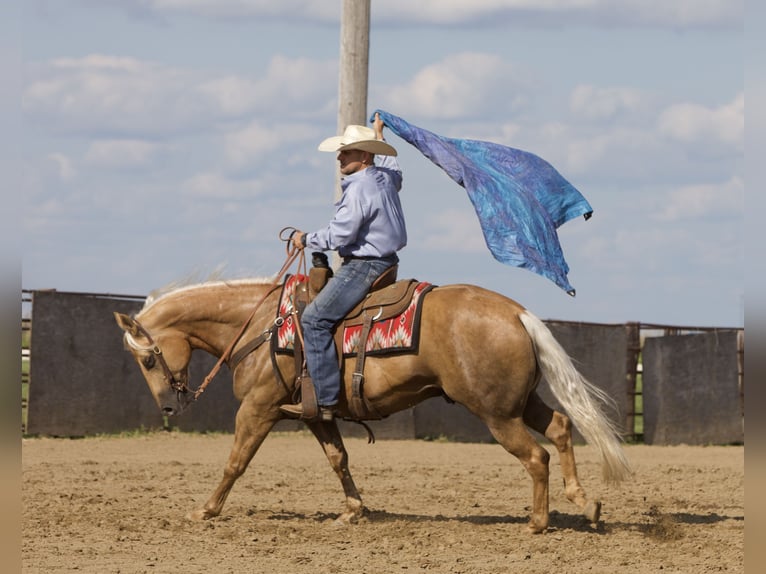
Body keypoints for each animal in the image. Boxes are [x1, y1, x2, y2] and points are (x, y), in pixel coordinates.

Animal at [112, 276, 632, 532]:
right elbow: (339, 458)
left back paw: (538, 523)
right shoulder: (314, 415)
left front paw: (206, 511)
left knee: (536, 456)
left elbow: (235, 462)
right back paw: (585, 503)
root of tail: (518, 313)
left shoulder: (258, 409)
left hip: (497, 413)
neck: (263, 326)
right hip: (520, 403)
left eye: (148, 359)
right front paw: (352, 510)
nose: (168, 407)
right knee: (561, 427)